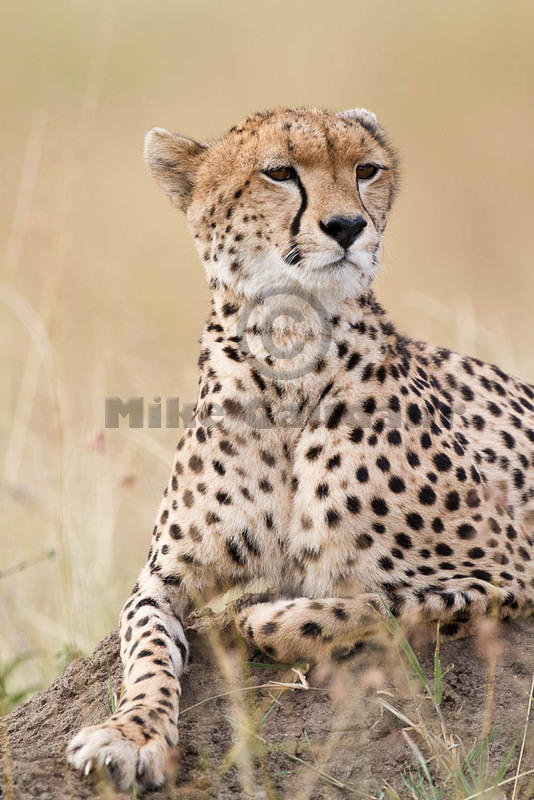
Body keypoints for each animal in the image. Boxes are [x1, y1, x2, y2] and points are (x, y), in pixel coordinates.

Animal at [67, 108, 534, 792]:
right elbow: (146, 652)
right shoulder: (161, 579)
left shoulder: (512, 568)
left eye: (367, 169)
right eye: (280, 173)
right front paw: (130, 736)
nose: (347, 226)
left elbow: (382, 602)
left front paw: (267, 616)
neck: (289, 346)